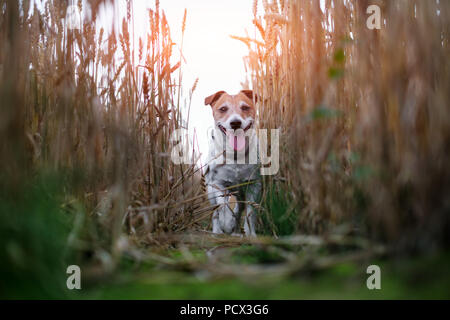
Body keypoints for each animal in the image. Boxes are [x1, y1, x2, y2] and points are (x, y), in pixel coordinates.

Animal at [203, 89, 262, 236]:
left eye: (245, 107)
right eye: (223, 109)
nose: (235, 123)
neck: (235, 156)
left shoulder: (254, 185)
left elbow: (251, 212)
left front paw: (251, 233)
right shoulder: (218, 184)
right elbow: (223, 207)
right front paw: (227, 223)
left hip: (240, 192)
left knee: (239, 208)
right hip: (210, 191)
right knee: (215, 212)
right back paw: (218, 231)